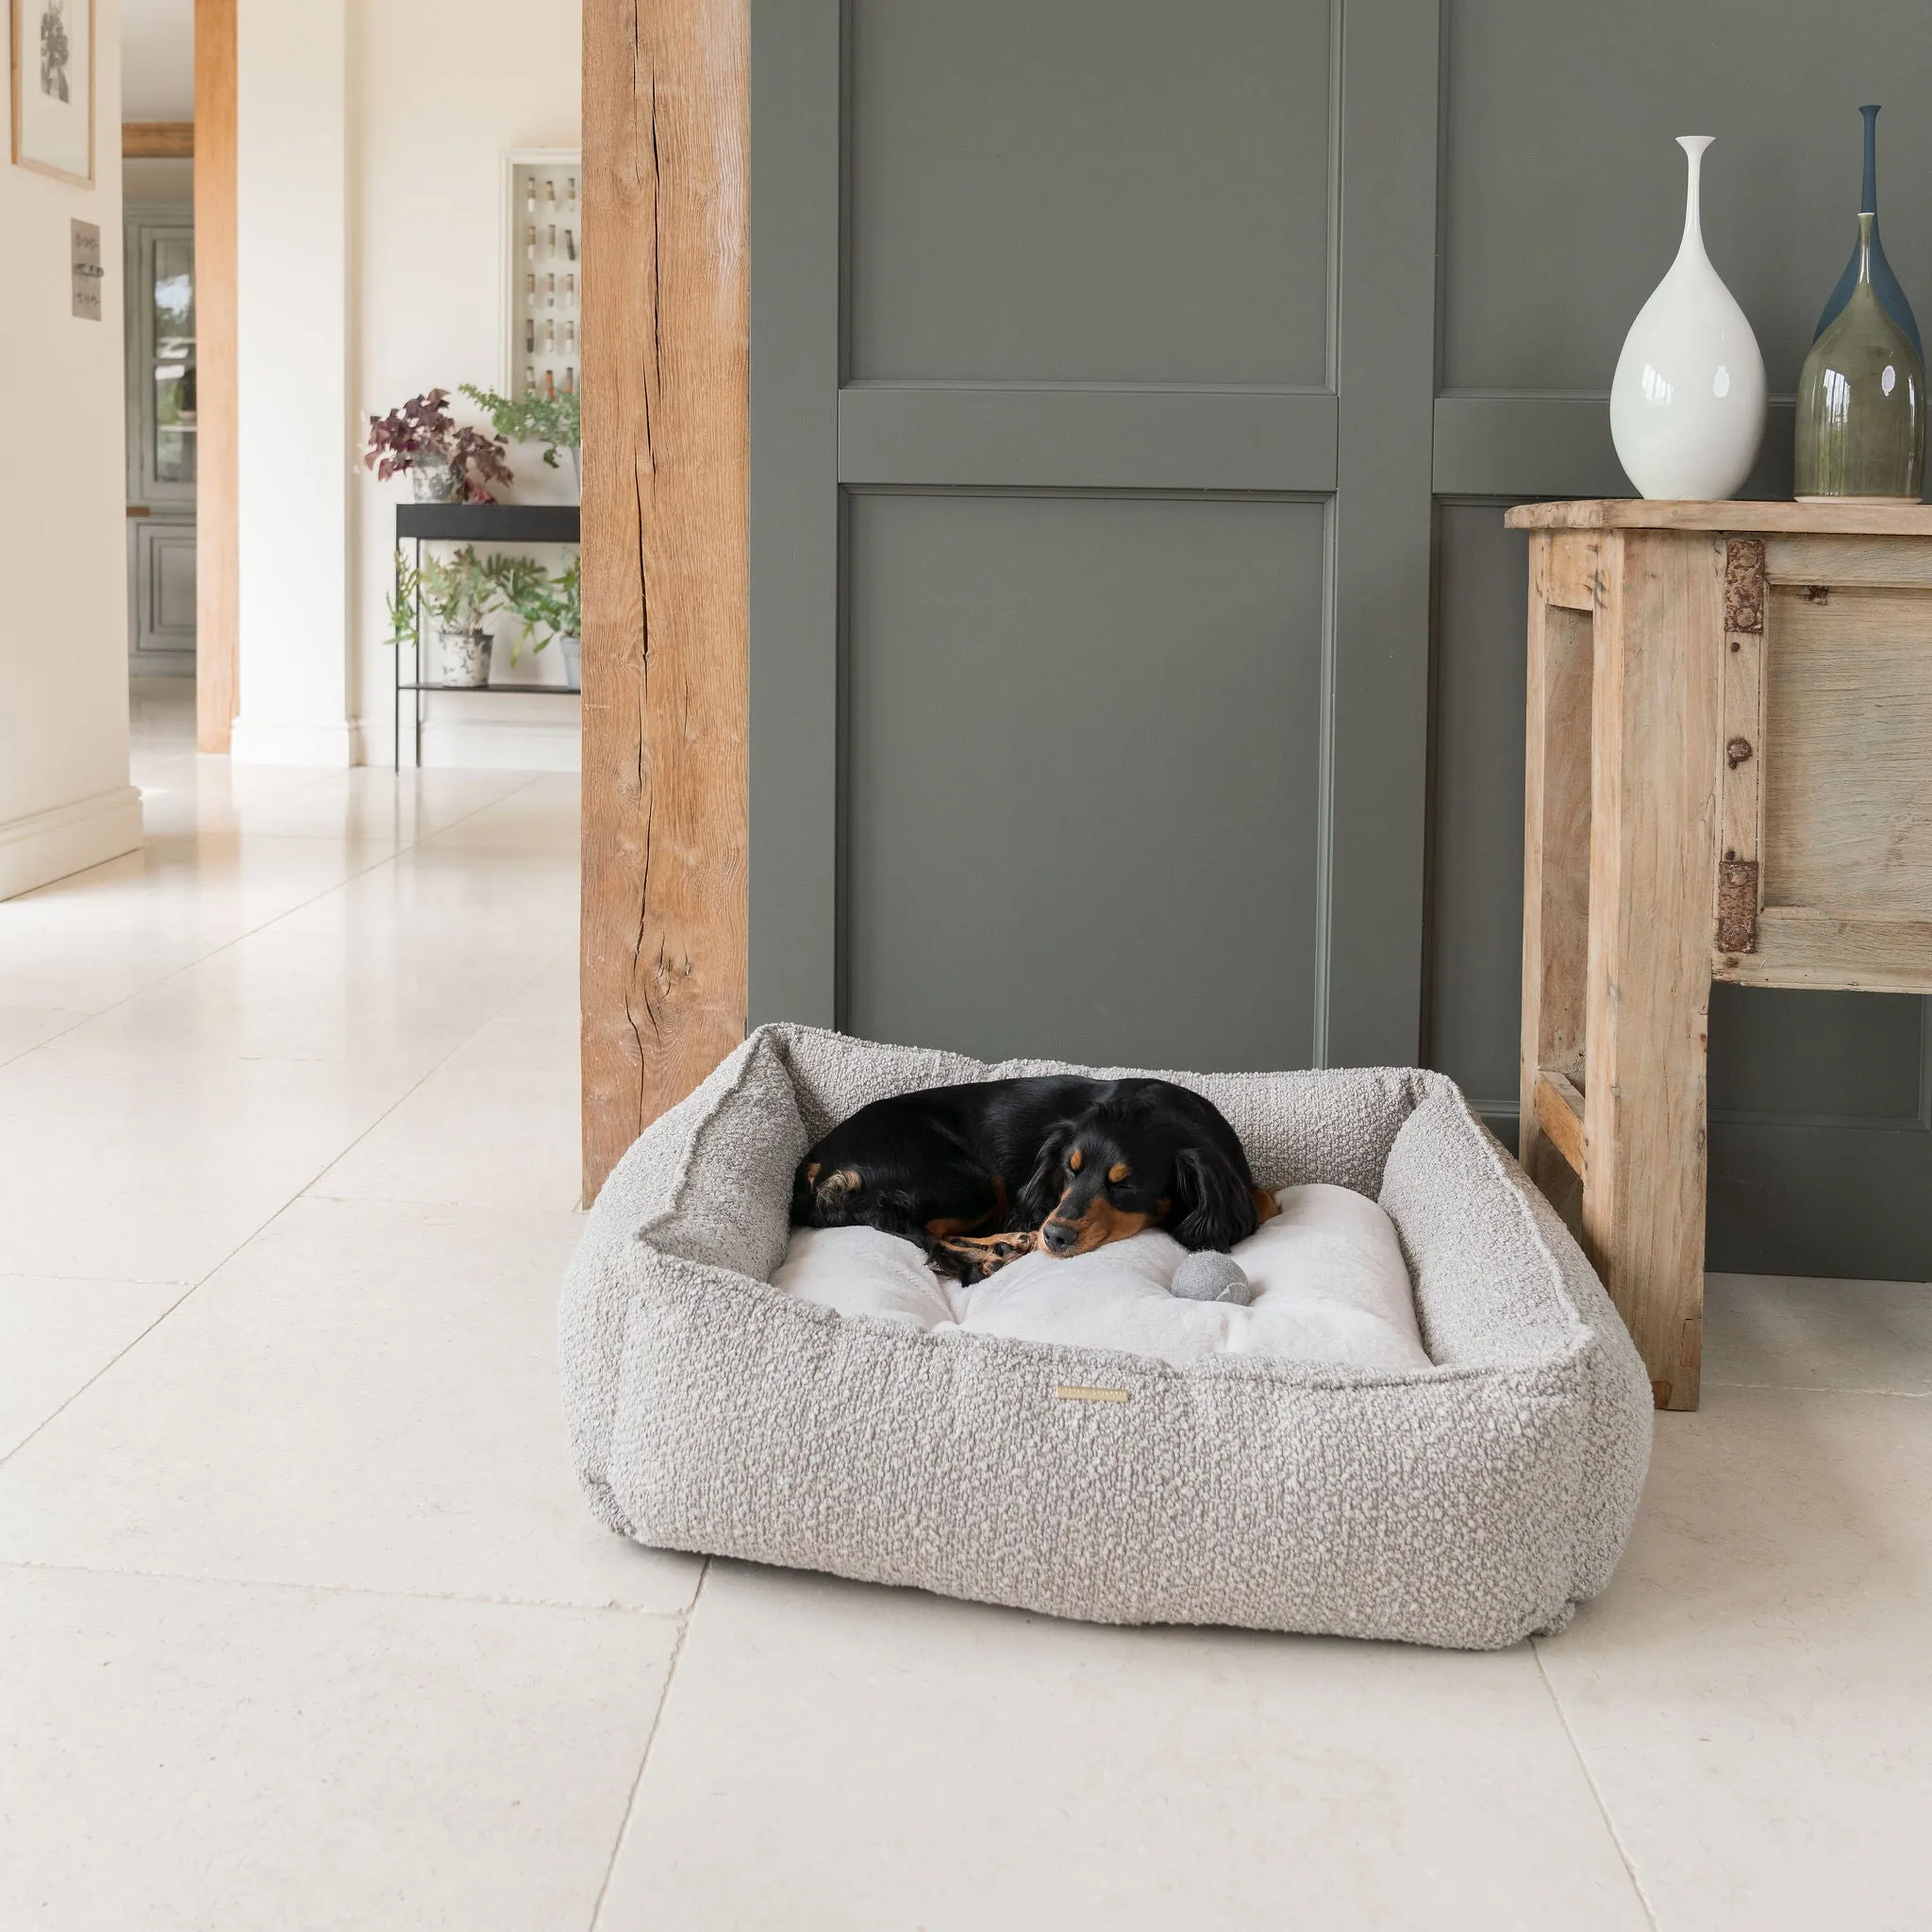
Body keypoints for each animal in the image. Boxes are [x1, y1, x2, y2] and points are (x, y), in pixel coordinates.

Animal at [791, 1074, 1274, 1282]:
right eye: (1069, 1169)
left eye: (1126, 1184)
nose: (1055, 1236)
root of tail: (820, 1154)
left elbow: (1266, 1199)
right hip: (971, 1182)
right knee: (910, 1228)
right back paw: (997, 1251)